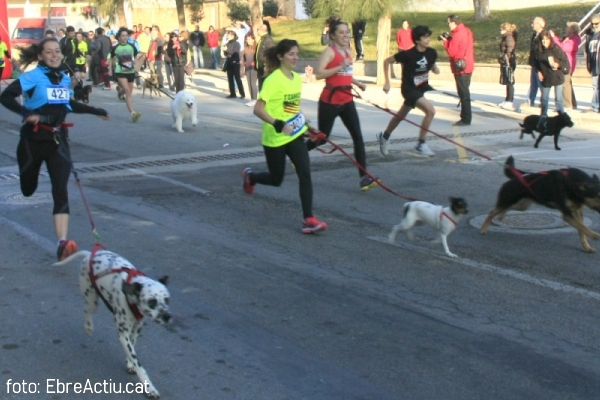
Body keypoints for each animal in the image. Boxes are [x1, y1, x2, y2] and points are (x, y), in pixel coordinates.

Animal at [54, 250, 171, 396]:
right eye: (152, 301)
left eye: (167, 299)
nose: (167, 316)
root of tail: (89, 254)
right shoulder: (123, 334)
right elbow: (139, 364)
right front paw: (149, 387)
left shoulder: (136, 328)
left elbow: (132, 349)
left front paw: (129, 364)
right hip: (92, 300)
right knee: (86, 310)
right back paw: (88, 327)